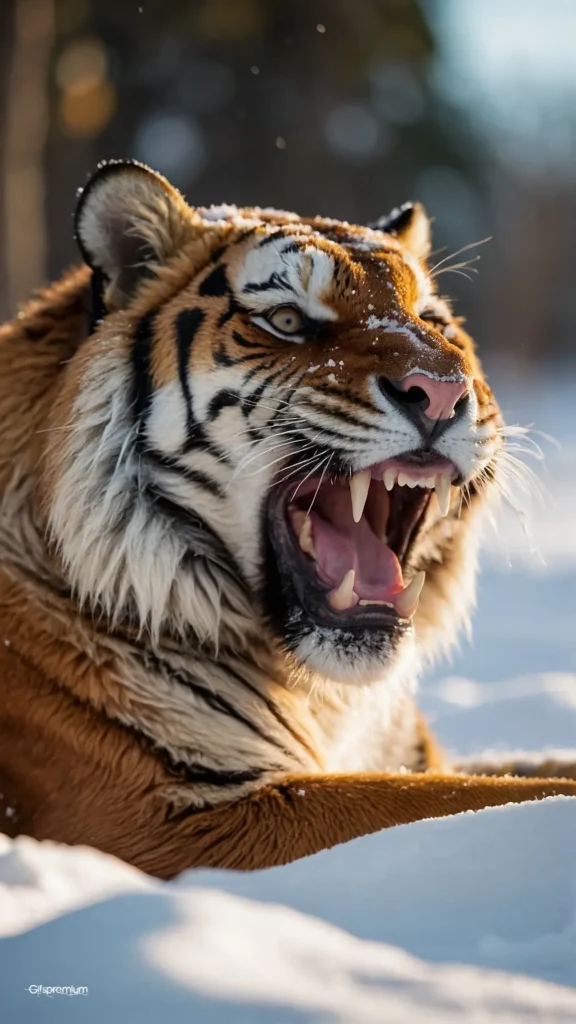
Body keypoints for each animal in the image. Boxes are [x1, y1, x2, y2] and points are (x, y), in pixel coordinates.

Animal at [0, 159, 574, 878]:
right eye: (288, 320)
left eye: (433, 321)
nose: (441, 391)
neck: (327, 697)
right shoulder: (168, 814)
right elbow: (475, 797)